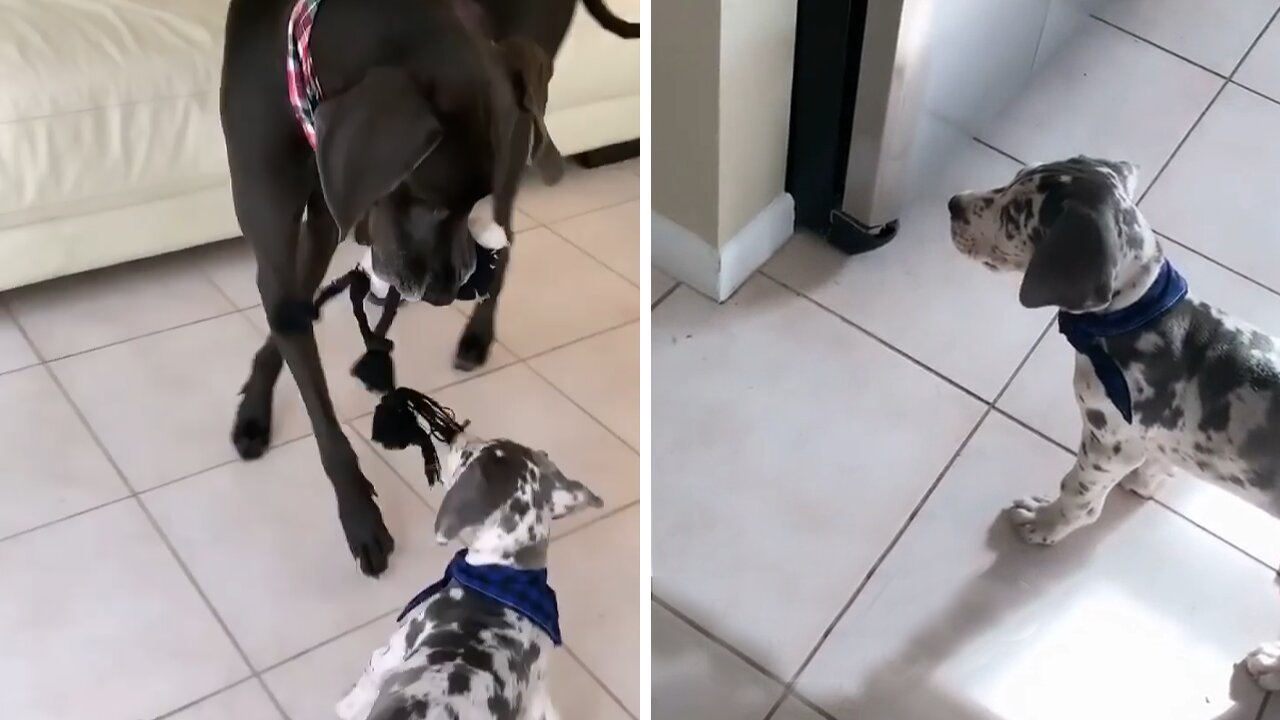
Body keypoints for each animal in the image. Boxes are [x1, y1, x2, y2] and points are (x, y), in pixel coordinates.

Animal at [337, 435, 601, 717]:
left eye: (467, 456)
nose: (457, 437)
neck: (503, 575)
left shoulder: (389, 654)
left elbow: (362, 689)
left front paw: (345, 705)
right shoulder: (538, 697)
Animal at [947, 155, 1280, 681]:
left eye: (1016, 214)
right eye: (1014, 177)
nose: (953, 204)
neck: (1136, 315)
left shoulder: (1107, 441)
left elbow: (1077, 494)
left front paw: (1044, 522)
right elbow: (1163, 457)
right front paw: (1149, 479)